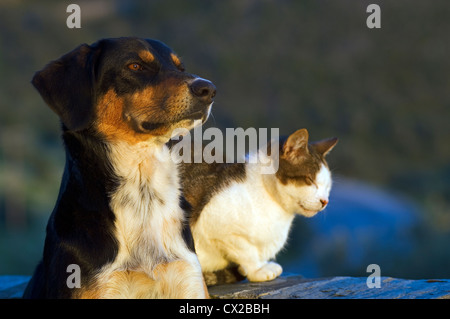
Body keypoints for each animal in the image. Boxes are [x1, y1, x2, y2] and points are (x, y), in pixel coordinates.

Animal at [179, 129, 338, 286]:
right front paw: (257, 270)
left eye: (328, 186)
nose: (325, 201)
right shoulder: (214, 224)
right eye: (310, 180)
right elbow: (246, 250)